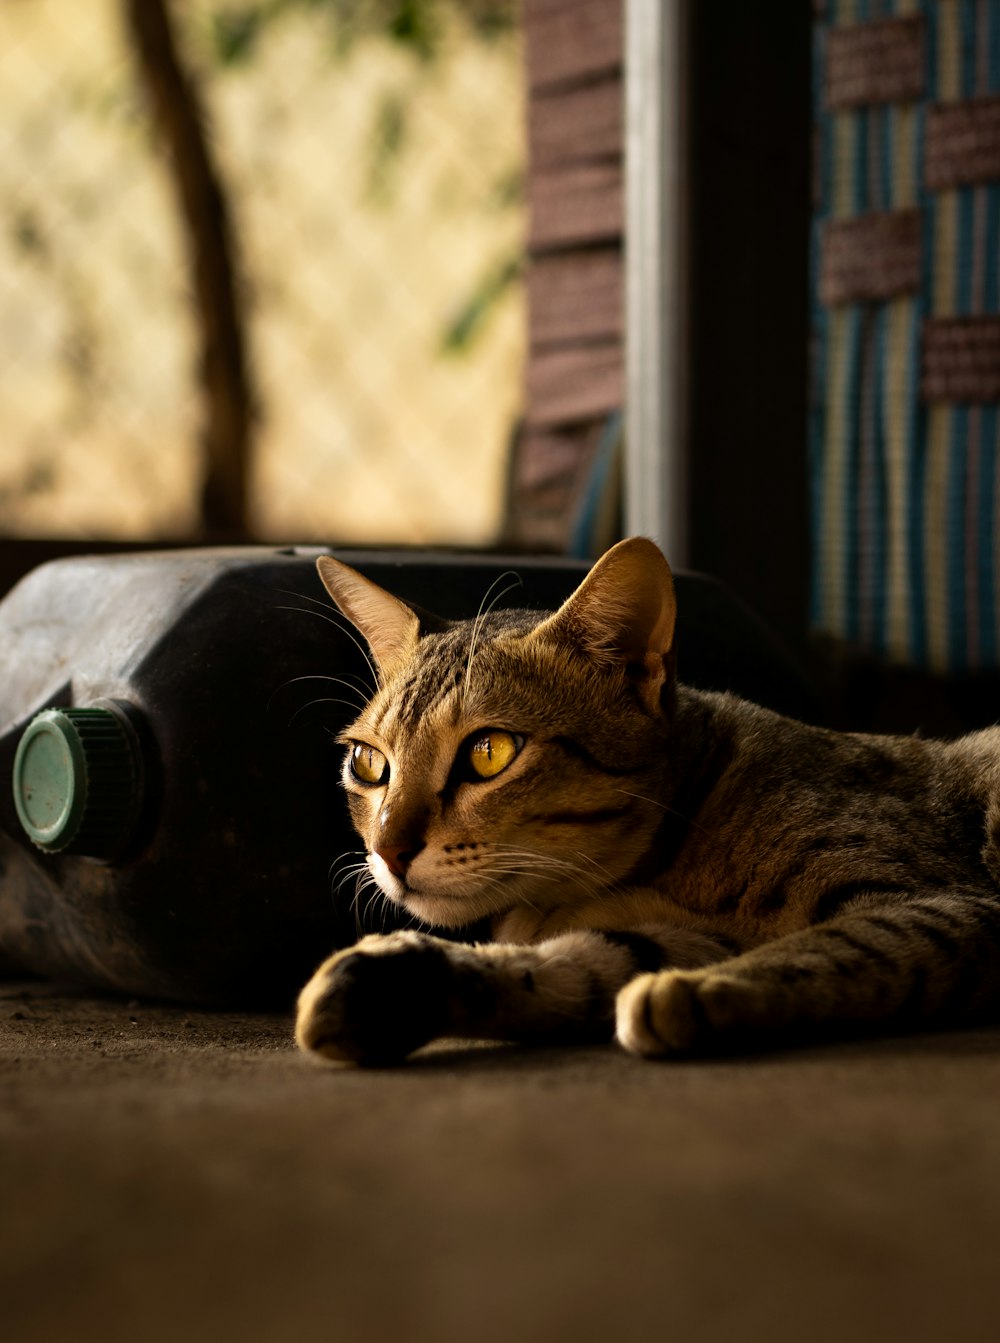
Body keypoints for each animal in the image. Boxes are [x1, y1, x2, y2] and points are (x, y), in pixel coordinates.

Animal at [292, 539, 998, 1063]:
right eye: (368, 763)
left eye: (489, 752)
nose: (388, 850)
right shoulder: (674, 935)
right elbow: (576, 962)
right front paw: (393, 984)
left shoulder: (945, 901)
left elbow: (845, 946)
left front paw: (700, 992)